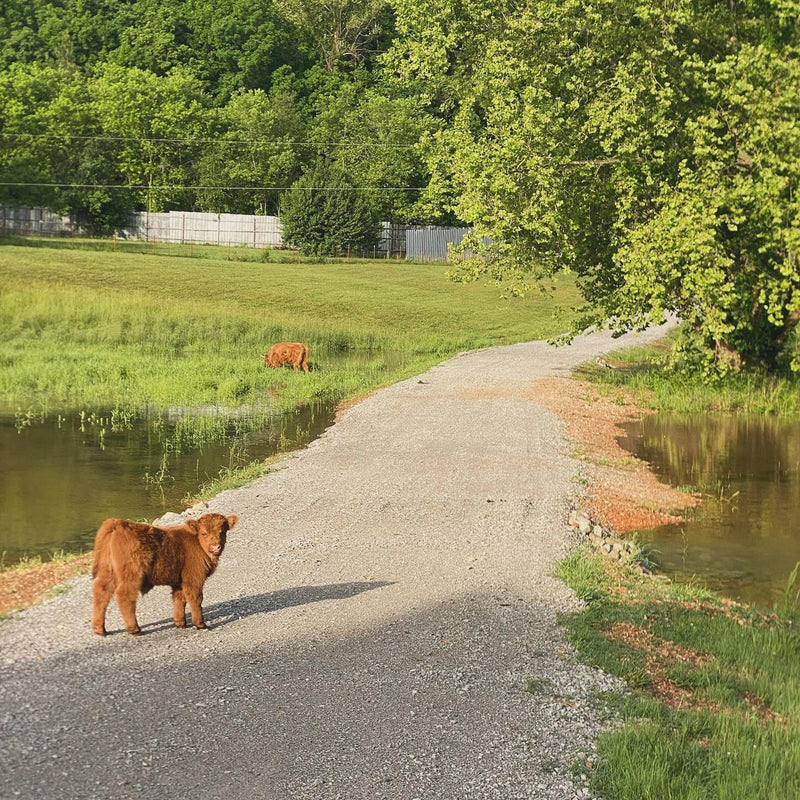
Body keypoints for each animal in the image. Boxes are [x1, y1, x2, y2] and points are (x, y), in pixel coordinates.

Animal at [90, 513, 238, 636]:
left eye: (222, 531)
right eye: (204, 533)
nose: (216, 546)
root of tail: (118, 523)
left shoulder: (179, 581)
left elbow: (179, 599)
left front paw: (180, 623)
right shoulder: (193, 578)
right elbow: (196, 598)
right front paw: (200, 624)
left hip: (108, 572)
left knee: (101, 593)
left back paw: (100, 629)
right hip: (131, 575)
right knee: (125, 596)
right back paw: (134, 629)